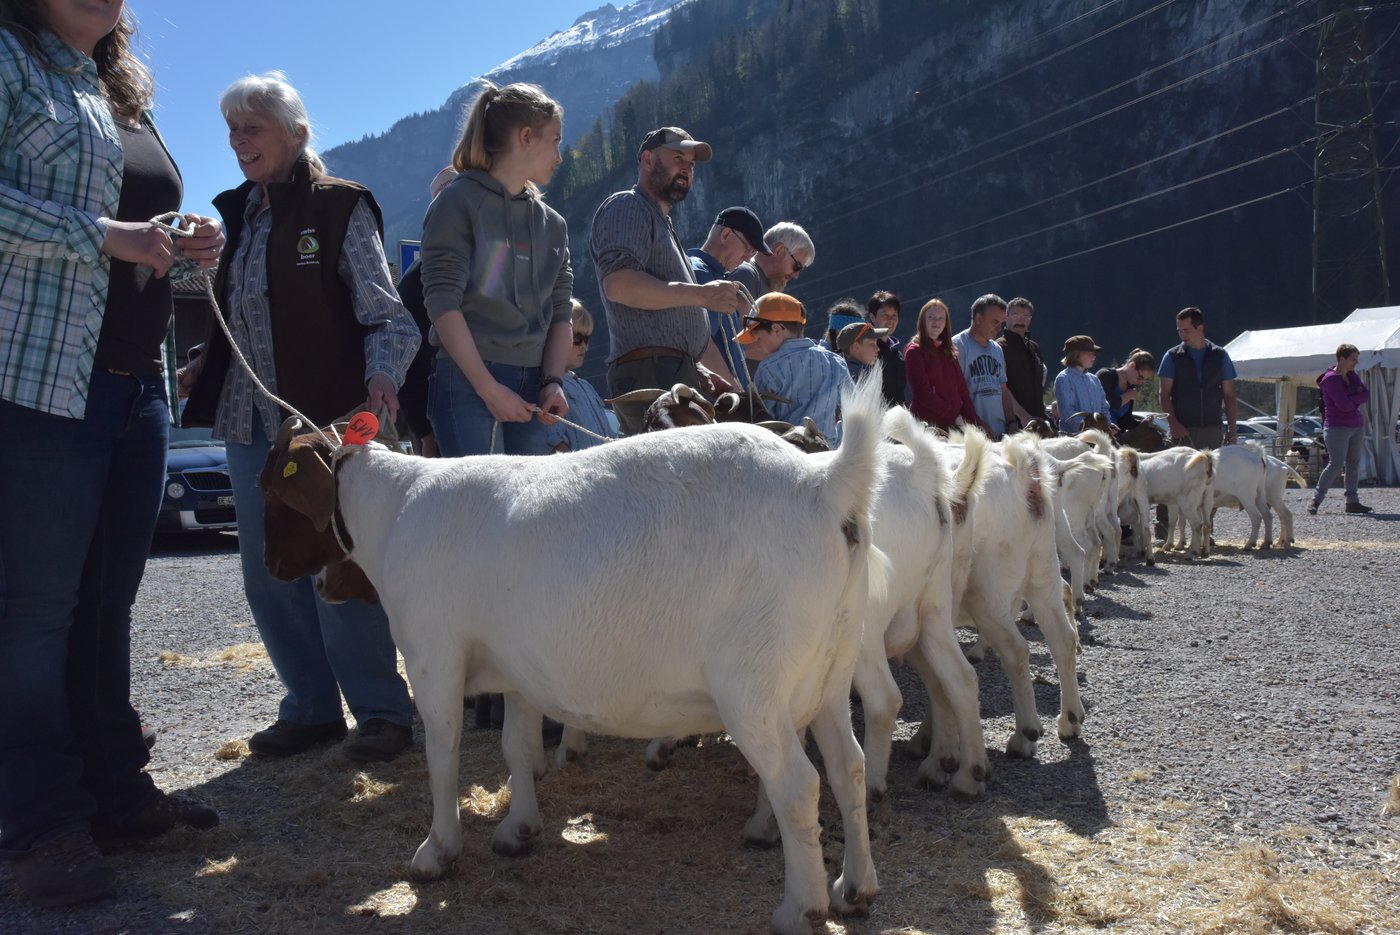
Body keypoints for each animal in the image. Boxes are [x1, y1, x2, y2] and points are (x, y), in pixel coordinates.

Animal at [258, 377, 891, 934]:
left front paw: (437, 851)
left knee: (798, 785)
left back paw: (800, 909)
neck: (394, 511)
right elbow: (516, 748)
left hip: (754, 683)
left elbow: (443, 754)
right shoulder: (516, 669)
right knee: (848, 766)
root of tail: (825, 485)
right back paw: (855, 889)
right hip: (830, 669)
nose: (275, 569)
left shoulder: (432, 653)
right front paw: (517, 830)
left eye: (269, 489)